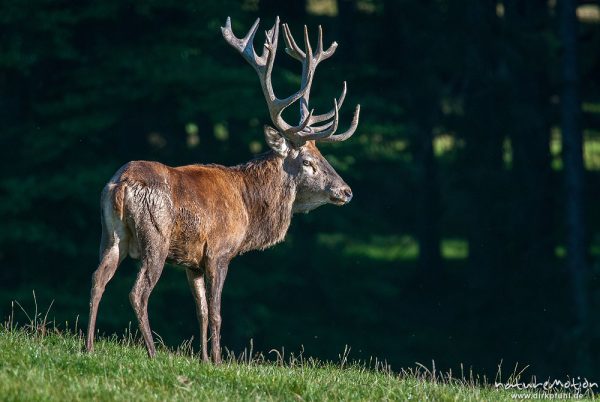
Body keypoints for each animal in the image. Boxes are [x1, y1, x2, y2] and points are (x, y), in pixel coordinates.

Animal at [86, 15, 358, 362]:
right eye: (309, 161)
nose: (346, 191)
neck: (249, 206)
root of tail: (121, 184)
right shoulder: (219, 251)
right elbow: (216, 313)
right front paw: (218, 361)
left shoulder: (193, 262)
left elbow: (201, 311)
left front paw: (203, 360)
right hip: (155, 237)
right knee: (138, 292)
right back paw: (152, 353)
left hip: (110, 234)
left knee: (97, 278)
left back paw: (87, 346)